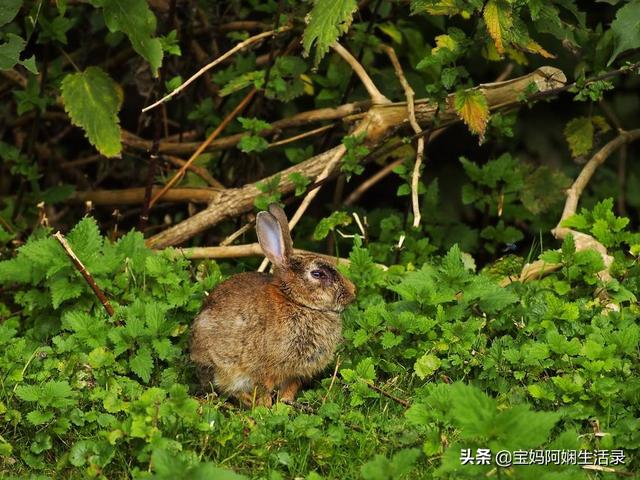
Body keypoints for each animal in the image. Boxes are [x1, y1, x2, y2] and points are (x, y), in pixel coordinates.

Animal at [190, 202, 360, 404]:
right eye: (318, 274)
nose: (353, 292)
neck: (296, 302)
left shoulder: (294, 374)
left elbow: (290, 388)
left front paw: (285, 403)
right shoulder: (264, 368)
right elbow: (264, 388)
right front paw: (265, 406)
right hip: (222, 366)